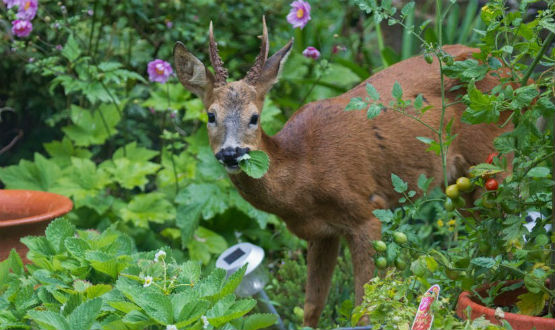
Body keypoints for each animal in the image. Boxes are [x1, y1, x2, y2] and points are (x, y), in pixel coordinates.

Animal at [175, 17, 512, 328]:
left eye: (254, 117)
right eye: (211, 115)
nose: (231, 153)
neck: (305, 171)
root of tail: (510, 69)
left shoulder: (367, 213)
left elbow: (364, 309)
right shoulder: (320, 233)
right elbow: (312, 307)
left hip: (495, 157)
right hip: (460, 182)